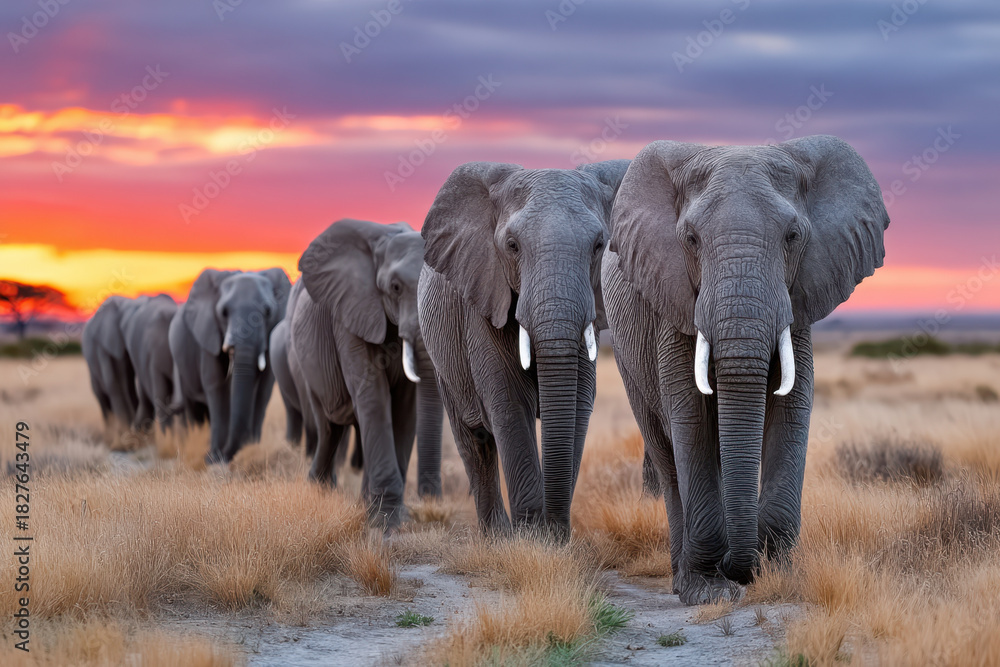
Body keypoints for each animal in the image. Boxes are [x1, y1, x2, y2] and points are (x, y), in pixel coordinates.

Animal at [83, 295, 147, 441]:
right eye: (130, 329)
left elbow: (128, 386)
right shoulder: (103, 345)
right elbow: (113, 383)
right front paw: (125, 436)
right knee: (102, 397)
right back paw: (110, 434)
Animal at [168, 267, 291, 463]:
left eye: (268, 311)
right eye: (224, 312)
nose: (227, 455)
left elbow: (263, 390)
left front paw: (249, 449)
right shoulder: (208, 334)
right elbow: (218, 387)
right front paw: (214, 458)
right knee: (191, 407)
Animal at [292, 219, 444, 527]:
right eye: (395, 287)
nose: (432, 504)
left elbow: (404, 410)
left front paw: (388, 514)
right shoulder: (351, 314)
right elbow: (375, 397)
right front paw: (386, 522)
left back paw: (363, 501)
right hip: (307, 369)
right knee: (329, 428)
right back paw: (319, 491)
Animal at [417, 160, 630, 539]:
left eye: (598, 245)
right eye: (512, 246)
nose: (555, 529)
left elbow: (577, 403)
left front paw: (554, 537)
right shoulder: (484, 297)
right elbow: (510, 403)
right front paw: (532, 538)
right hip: (444, 361)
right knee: (475, 442)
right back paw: (495, 535)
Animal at [602, 136, 889, 604]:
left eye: (793, 236)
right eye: (691, 239)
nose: (741, 572)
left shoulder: (799, 300)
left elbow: (793, 406)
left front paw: (779, 574)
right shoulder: (673, 303)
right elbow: (690, 415)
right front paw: (710, 592)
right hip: (629, 360)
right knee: (665, 453)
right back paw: (683, 578)